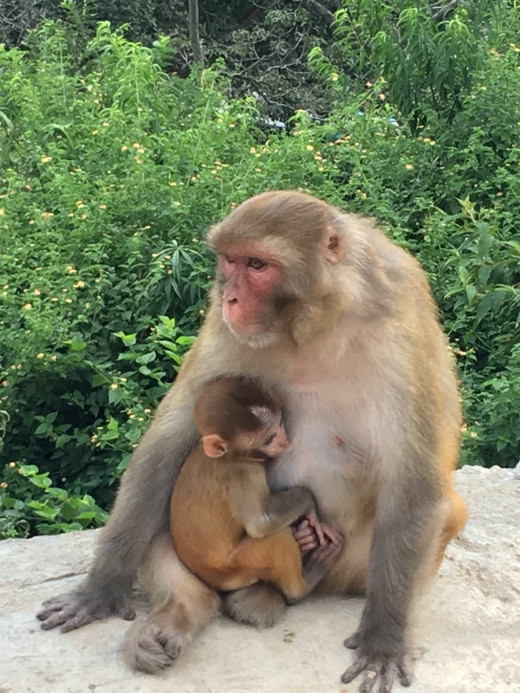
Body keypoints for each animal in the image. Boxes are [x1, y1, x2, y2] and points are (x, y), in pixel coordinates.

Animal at [169, 376, 344, 604]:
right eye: (269, 439)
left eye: (280, 423)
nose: (284, 442)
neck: (230, 456)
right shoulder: (245, 474)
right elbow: (260, 523)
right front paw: (308, 502)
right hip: (239, 568)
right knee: (276, 537)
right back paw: (302, 586)